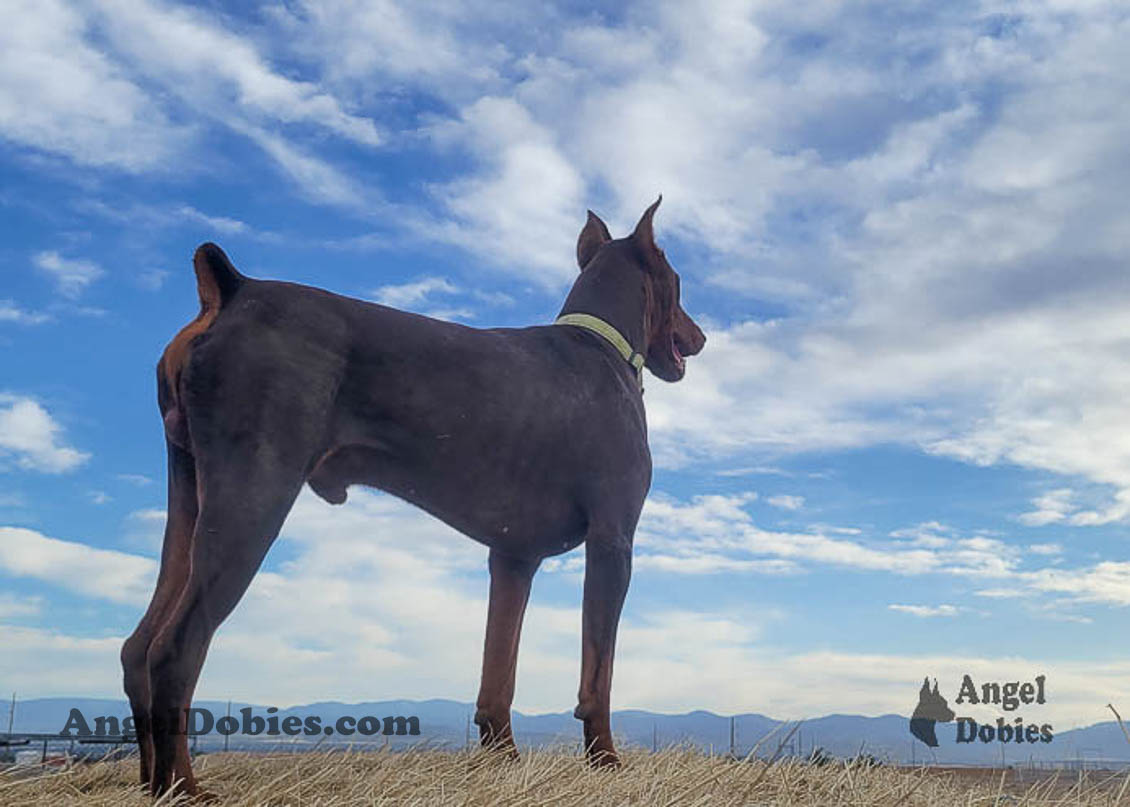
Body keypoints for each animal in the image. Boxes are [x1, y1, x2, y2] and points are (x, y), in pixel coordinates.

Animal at [123, 197, 705, 795]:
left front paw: (503, 758)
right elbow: (599, 672)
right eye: (679, 283)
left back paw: (149, 782)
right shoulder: (613, 541)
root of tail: (233, 290)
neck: (600, 344)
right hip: (254, 495)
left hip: (189, 495)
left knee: (137, 647)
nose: (702, 336)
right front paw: (605, 759)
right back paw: (183, 788)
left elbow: (498, 672)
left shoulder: (513, 557)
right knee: (176, 648)